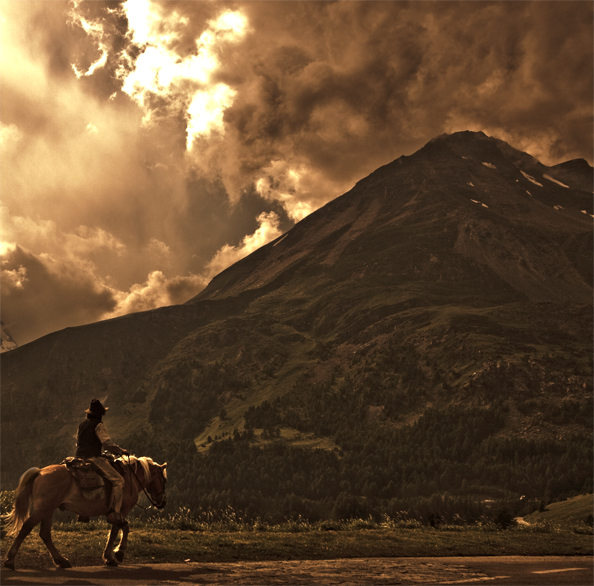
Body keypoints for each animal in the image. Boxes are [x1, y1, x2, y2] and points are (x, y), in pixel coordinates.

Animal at [2, 454, 166, 568]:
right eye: (164, 480)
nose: (162, 502)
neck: (130, 478)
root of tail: (39, 472)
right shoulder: (121, 510)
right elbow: (121, 529)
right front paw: (116, 554)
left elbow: (118, 529)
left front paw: (110, 556)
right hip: (43, 509)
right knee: (26, 527)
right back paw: (10, 560)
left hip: (49, 509)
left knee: (45, 534)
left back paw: (61, 561)